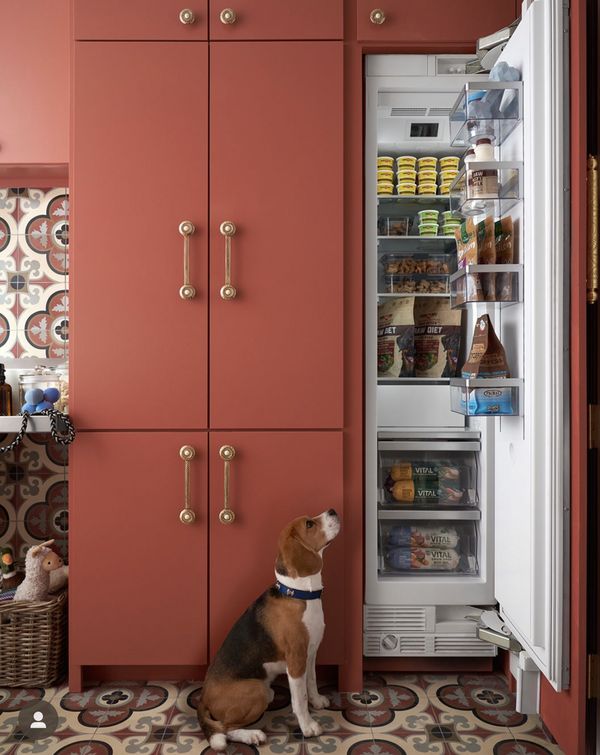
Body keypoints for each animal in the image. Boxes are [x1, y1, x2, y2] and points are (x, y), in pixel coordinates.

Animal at [196, 508, 340, 752]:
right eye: (309, 524)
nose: (333, 510)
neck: (299, 593)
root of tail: (204, 696)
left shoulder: (311, 654)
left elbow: (312, 681)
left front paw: (317, 701)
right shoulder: (296, 660)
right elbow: (299, 698)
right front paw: (308, 726)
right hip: (257, 691)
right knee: (224, 728)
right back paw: (252, 735)